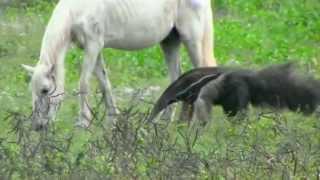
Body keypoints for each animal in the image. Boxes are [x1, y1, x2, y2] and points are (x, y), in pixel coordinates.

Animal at [21, 0, 215, 130]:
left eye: (45, 90)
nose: (38, 126)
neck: (77, 10)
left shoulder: (93, 46)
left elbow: (83, 83)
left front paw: (83, 122)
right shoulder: (95, 50)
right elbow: (104, 83)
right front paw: (113, 120)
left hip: (192, 40)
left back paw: (197, 123)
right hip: (170, 41)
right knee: (177, 79)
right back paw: (167, 122)